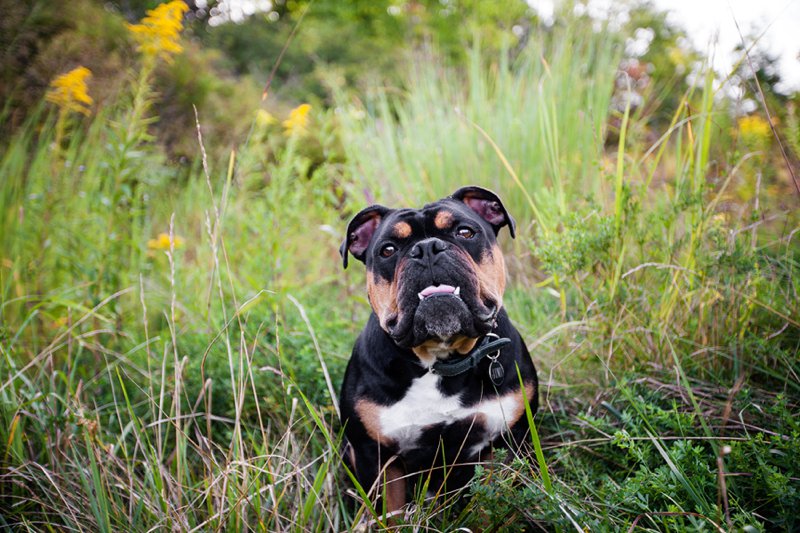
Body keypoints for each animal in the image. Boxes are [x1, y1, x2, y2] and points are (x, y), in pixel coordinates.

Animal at [338, 185, 536, 512]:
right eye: (388, 250)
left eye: (465, 232)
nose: (427, 248)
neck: (441, 358)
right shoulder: (375, 459)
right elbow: (388, 513)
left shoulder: (508, 441)